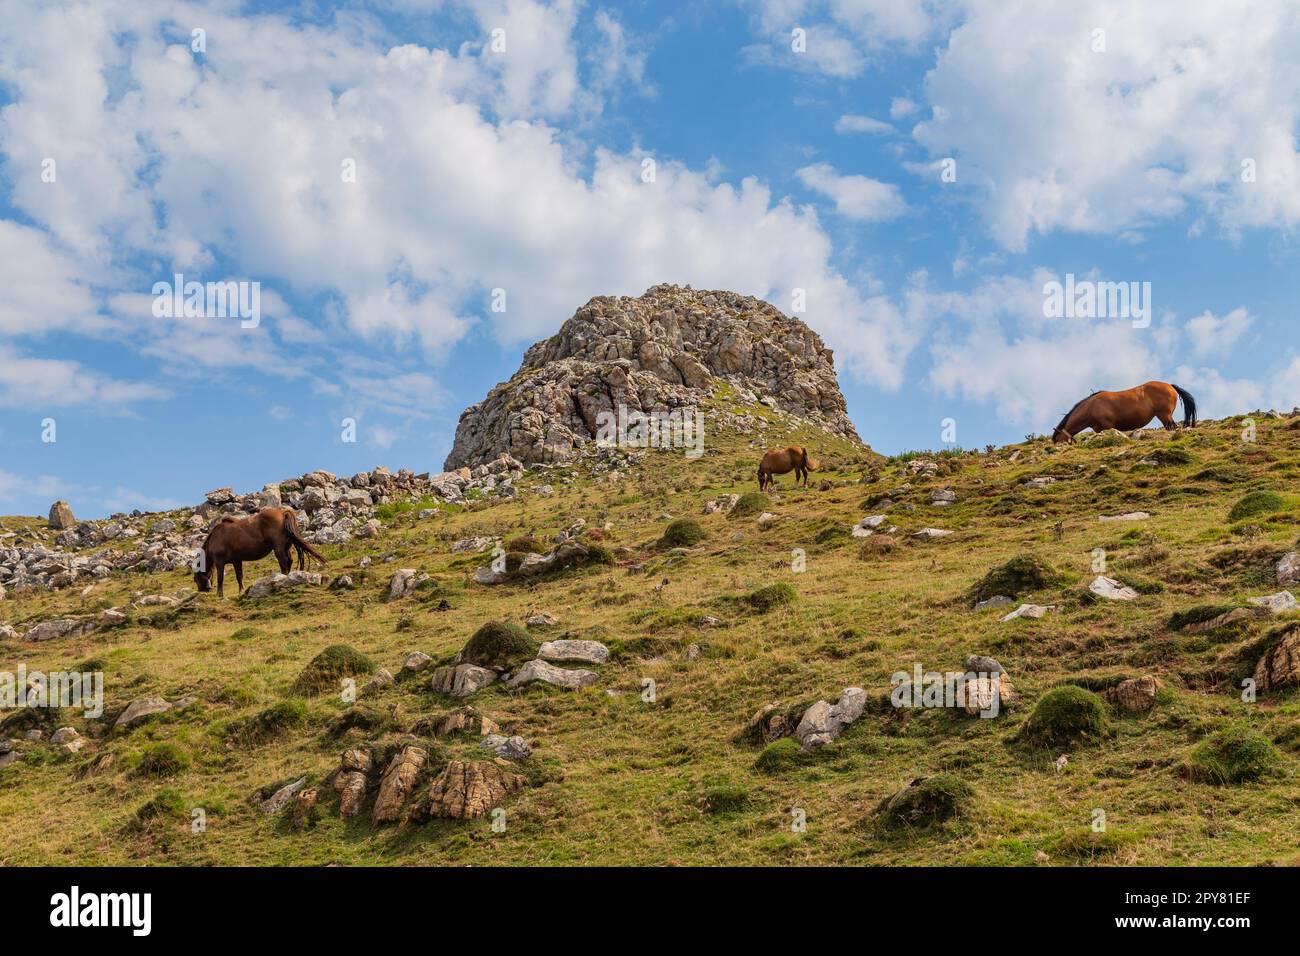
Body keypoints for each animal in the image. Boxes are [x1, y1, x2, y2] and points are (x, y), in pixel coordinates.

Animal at [194, 508, 326, 597]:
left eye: (195, 579)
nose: (202, 590)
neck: (216, 537)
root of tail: (282, 512)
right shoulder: (237, 561)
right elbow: (239, 576)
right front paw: (241, 591)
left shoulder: (219, 561)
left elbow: (220, 577)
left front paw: (219, 594)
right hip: (286, 547)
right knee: (289, 561)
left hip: (278, 548)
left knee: (283, 562)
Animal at [1052, 381, 1196, 443]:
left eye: (1058, 441)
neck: (1091, 406)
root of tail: (1170, 385)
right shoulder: (1098, 429)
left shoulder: (1108, 426)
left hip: (1165, 415)